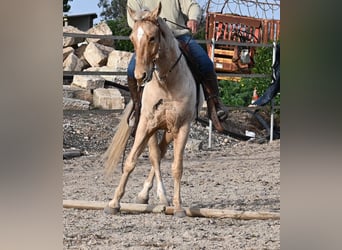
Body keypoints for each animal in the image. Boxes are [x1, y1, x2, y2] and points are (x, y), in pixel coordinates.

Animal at [102, 1, 203, 217]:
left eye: (152, 38)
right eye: (132, 38)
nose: (140, 75)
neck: (167, 83)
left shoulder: (182, 126)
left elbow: (177, 167)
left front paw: (178, 207)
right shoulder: (146, 124)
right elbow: (131, 161)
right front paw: (114, 203)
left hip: (169, 129)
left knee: (161, 153)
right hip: (152, 127)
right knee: (155, 155)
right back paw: (149, 195)